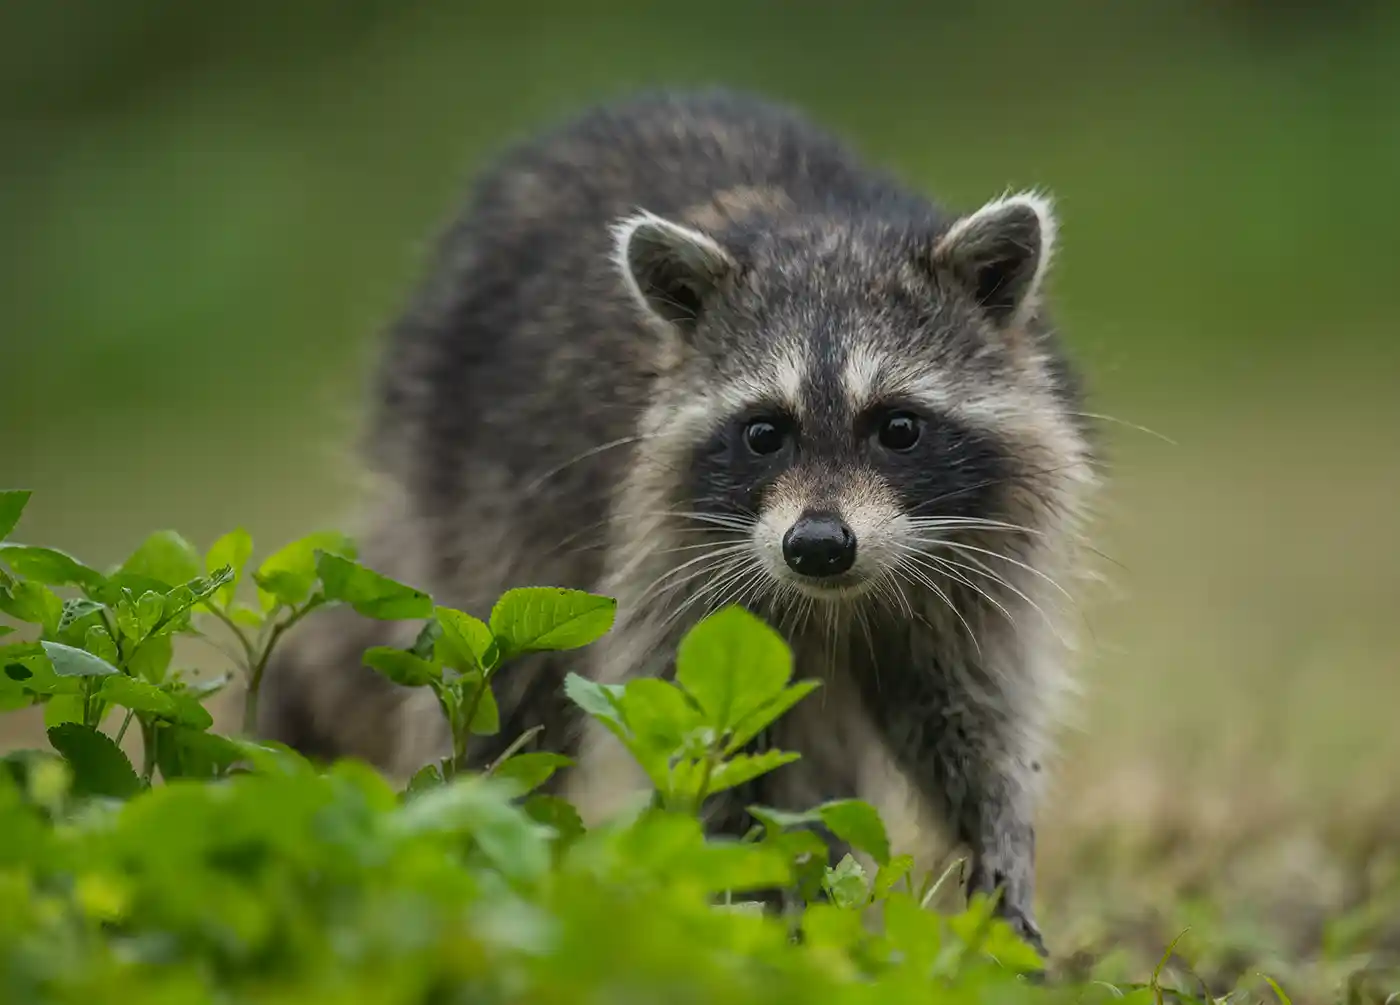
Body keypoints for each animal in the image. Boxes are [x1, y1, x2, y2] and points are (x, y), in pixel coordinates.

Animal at [257, 88, 1097, 951]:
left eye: (899, 427)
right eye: (764, 431)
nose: (817, 546)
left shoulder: (982, 557)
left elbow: (972, 711)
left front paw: (999, 851)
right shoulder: (675, 559)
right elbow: (721, 748)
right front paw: (757, 907)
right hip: (472, 477)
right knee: (502, 679)